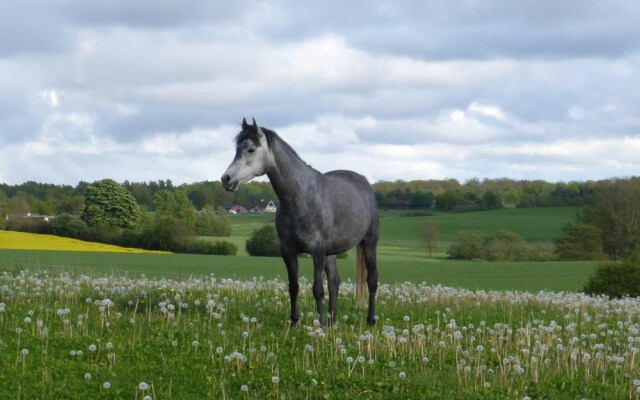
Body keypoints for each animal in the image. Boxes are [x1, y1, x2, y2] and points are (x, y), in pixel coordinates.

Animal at [221, 118, 378, 324]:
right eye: (237, 149)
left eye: (251, 149)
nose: (226, 179)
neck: (300, 196)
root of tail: (365, 183)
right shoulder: (288, 251)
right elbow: (293, 286)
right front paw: (295, 322)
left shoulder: (317, 251)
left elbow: (317, 289)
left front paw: (318, 325)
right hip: (331, 252)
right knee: (334, 282)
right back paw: (332, 320)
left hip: (369, 243)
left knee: (372, 280)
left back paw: (370, 320)